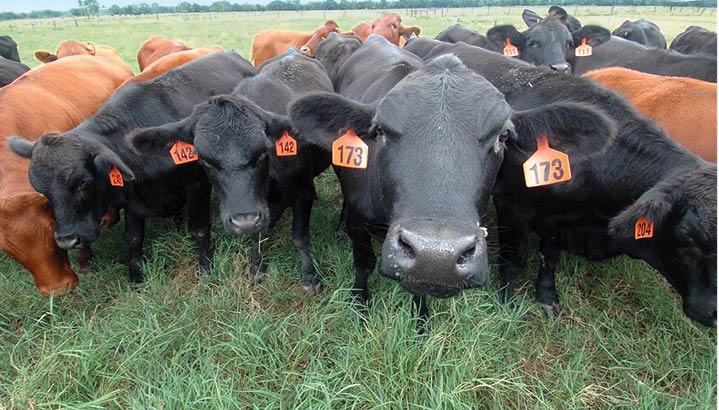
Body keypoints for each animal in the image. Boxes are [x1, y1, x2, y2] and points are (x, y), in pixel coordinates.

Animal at [8, 52, 256, 285]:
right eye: (42, 191)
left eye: (83, 183)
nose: (67, 240)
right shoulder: (132, 201)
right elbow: (134, 238)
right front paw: (136, 278)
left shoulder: (198, 186)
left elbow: (200, 229)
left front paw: (205, 269)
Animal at [130, 48, 333, 293]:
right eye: (205, 160)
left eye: (262, 152)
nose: (244, 221)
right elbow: (257, 234)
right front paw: (256, 267)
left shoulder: (301, 191)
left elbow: (300, 237)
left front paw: (309, 278)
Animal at [290, 35, 615, 318]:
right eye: (379, 130)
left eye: (503, 135)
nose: (437, 255)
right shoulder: (359, 224)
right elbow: (363, 265)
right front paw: (359, 305)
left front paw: (420, 320)